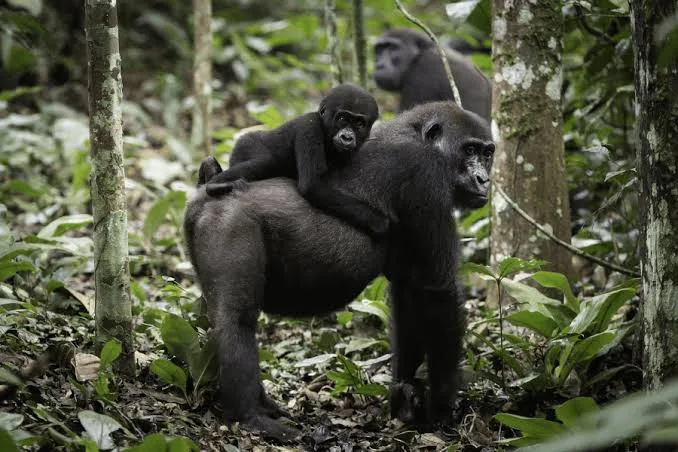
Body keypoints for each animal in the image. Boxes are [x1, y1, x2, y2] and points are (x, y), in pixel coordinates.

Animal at [184, 101, 495, 441]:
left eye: (488, 154)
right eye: (469, 150)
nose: (484, 179)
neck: (415, 132)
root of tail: (203, 195)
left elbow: (409, 296)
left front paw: (405, 394)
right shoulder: (427, 176)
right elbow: (438, 292)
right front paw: (442, 407)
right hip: (230, 224)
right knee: (236, 320)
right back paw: (250, 415)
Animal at [202, 83, 388, 237]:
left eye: (360, 123)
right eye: (342, 118)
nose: (347, 137)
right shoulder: (310, 126)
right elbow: (312, 185)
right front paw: (379, 222)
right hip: (245, 145)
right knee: (268, 162)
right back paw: (215, 183)